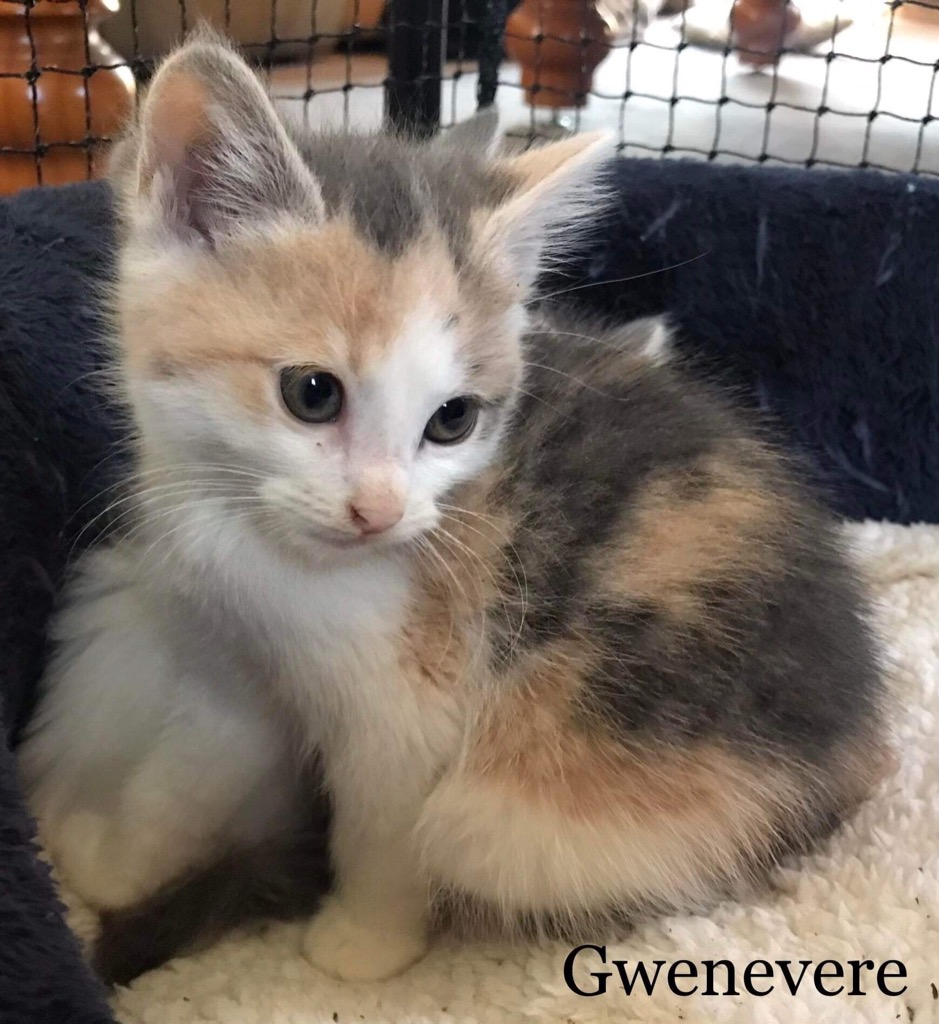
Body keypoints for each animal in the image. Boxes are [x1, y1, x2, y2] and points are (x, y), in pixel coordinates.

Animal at [18, 33, 890, 986]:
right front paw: (108, 861)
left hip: (522, 818)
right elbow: (193, 766)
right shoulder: (232, 662)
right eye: (312, 394)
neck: (259, 545)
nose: (380, 511)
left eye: (453, 420)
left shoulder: (410, 704)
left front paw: (363, 943)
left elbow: (385, 828)